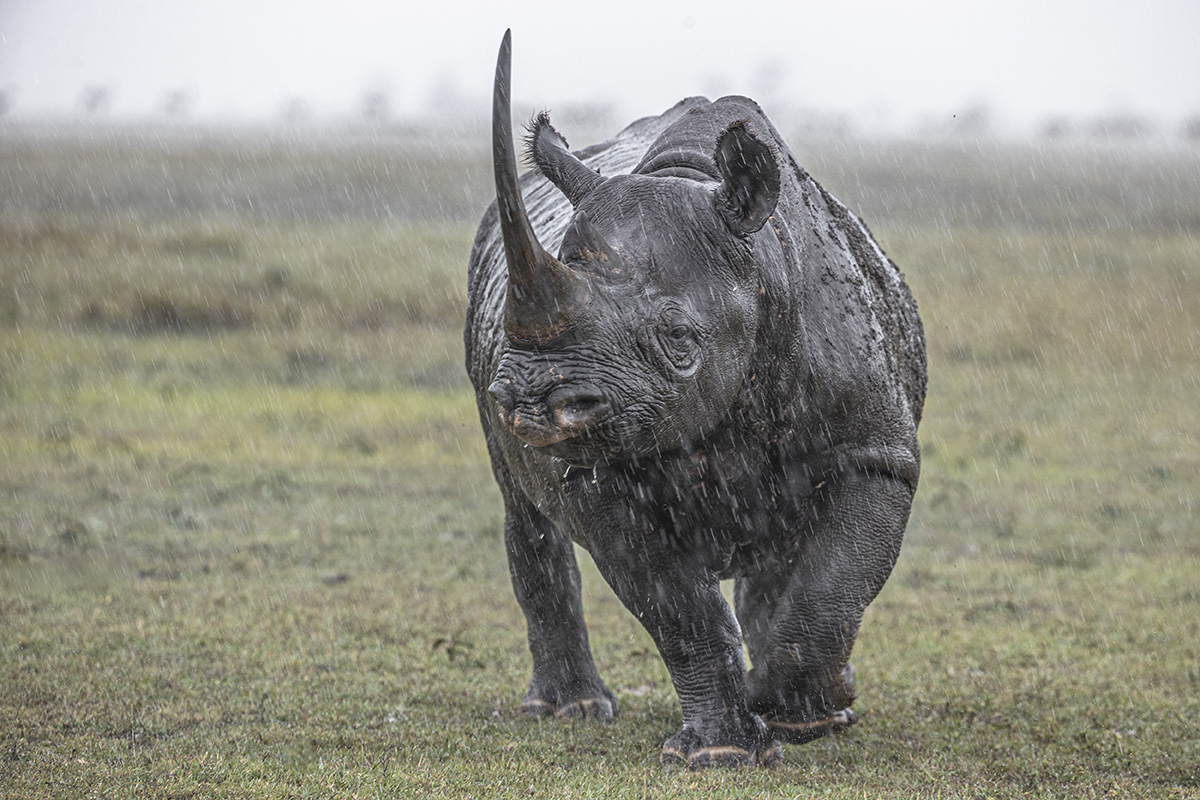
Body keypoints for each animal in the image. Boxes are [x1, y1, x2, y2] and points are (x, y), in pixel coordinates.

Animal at [464, 31, 926, 768]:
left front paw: (801, 714)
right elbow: (679, 611)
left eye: (679, 338)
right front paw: (723, 754)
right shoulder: (597, 473)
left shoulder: (874, 451)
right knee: (523, 505)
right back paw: (571, 711)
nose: (533, 401)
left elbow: (835, 581)